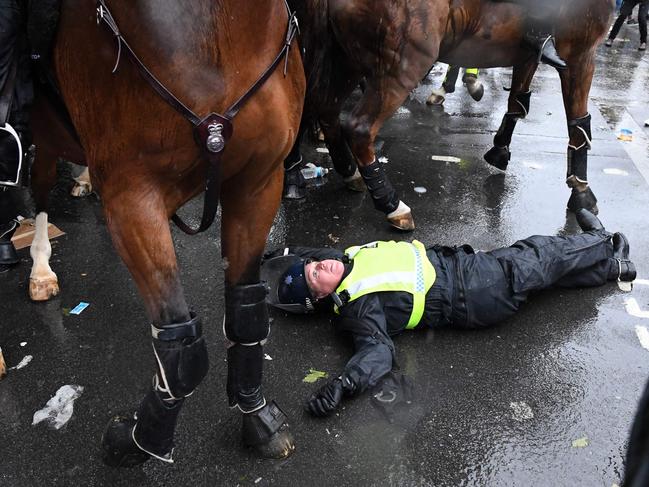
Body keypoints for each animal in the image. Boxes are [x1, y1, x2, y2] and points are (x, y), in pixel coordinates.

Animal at [28, 0, 306, 466]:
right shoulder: (133, 199)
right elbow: (183, 345)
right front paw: (140, 440)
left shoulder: (259, 182)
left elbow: (246, 313)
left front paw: (256, 415)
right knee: (40, 191)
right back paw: (40, 267)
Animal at [288, 0, 612, 231]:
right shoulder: (580, 55)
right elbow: (578, 125)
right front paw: (582, 193)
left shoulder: (528, 57)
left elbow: (517, 104)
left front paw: (499, 150)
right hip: (401, 66)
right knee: (358, 127)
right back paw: (392, 204)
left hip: (345, 61)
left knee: (321, 107)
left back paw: (346, 172)